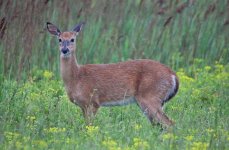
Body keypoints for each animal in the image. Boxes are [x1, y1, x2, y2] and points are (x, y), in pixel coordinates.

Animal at [46, 21, 179, 126]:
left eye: (72, 39)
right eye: (59, 39)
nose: (64, 50)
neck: (76, 77)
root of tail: (173, 75)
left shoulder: (93, 101)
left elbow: (89, 125)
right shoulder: (83, 106)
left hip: (150, 97)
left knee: (169, 123)